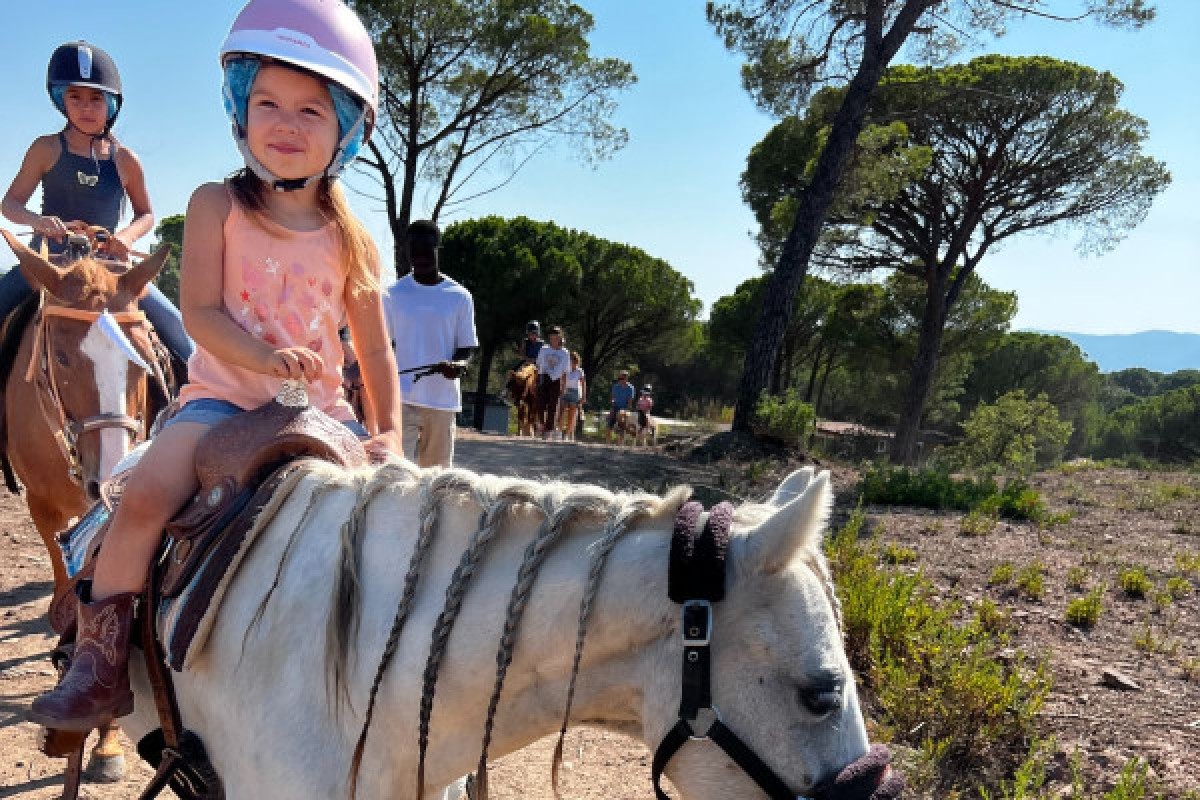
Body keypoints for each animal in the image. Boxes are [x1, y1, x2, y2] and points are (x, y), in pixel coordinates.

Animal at [1, 229, 170, 781]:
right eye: (61, 357)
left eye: (143, 359)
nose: (112, 474)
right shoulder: (44, 510)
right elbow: (67, 595)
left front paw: (107, 742)